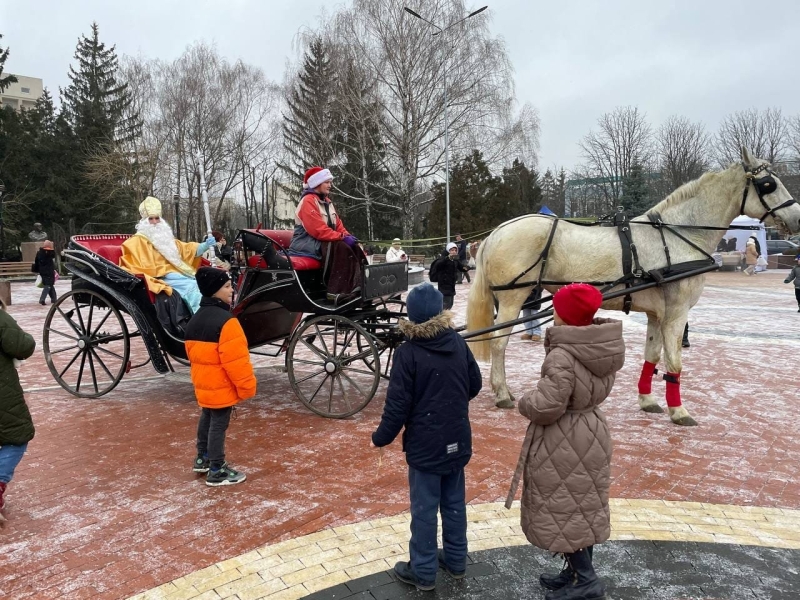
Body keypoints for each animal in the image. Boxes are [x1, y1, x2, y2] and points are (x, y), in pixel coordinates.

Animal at [468, 148, 800, 424]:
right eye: (768, 184)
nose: (797, 218)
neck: (677, 235)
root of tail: (497, 231)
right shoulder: (677, 312)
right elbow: (675, 361)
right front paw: (679, 411)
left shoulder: (656, 314)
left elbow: (652, 356)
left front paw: (648, 400)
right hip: (513, 298)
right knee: (498, 343)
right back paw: (502, 393)